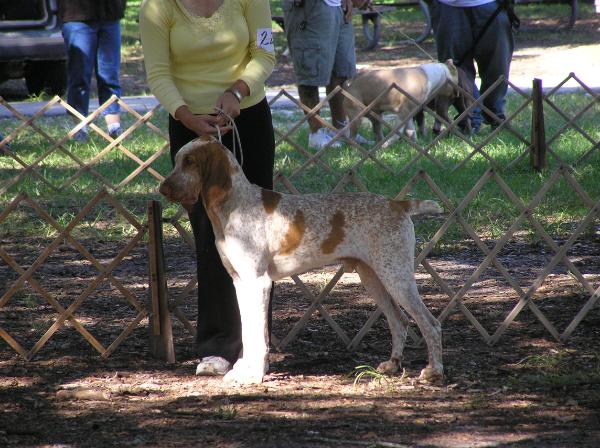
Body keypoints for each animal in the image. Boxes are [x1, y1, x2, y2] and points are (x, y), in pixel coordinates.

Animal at [161, 137, 446, 384]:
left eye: (189, 162)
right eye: (176, 161)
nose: (162, 188)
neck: (235, 206)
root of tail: (398, 204)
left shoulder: (258, 283)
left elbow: (258, 336)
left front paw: (254, 375)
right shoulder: (241, 283)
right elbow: (248, 332)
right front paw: (245, 370)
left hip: (396, 277)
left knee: (430, 324)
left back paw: (434, 372)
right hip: (374, 278)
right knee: (399, 322)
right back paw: (393, 364)